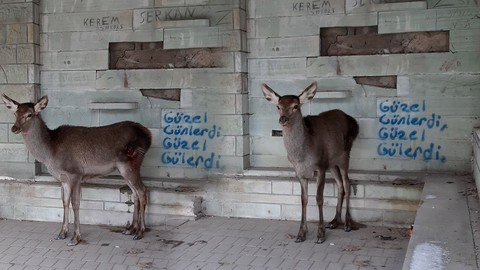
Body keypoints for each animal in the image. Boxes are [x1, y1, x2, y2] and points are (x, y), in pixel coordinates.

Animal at [1, 94, 152, 246]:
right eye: (15, 113)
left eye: (29, 114)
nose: (14, 128)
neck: (50, 152)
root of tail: (149, 135)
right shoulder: (63, 178)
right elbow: (64, 202)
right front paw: (62, 233)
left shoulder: (75, 173)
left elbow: (75, 203)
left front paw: (75, 237)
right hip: (124, 169)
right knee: (135, 193)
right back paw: (131, 229)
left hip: (130, 164)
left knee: (142, 190)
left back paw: (140, 232)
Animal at [262, 81, 360, 244]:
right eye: (278, 106)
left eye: (295, 106)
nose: (283, 119)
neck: (302, 156)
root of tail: (353, 121)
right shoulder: (300, 172)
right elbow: (304, 199)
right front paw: (301, 234)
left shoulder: (320, 167)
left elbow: (319, 198)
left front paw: (320, 235)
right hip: (332, 163)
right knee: (340, 185)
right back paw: (334, 221)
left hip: (344, 155)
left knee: (347, 183)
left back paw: (347, 223)